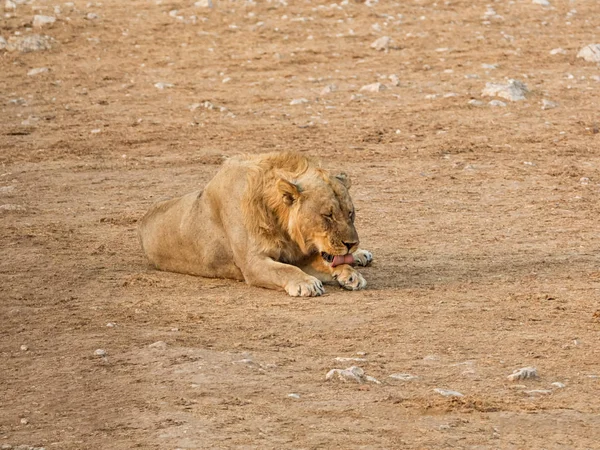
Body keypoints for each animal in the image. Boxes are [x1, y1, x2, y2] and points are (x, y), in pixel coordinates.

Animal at [139, 153, 372, 298]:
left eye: (350, 213)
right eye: (327, 215)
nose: (351, 244)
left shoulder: (297, 255)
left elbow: (322, 263)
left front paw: (350, 274)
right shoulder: (253, 263)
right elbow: (285, 270)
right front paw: (307, 283)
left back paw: (361, 255)